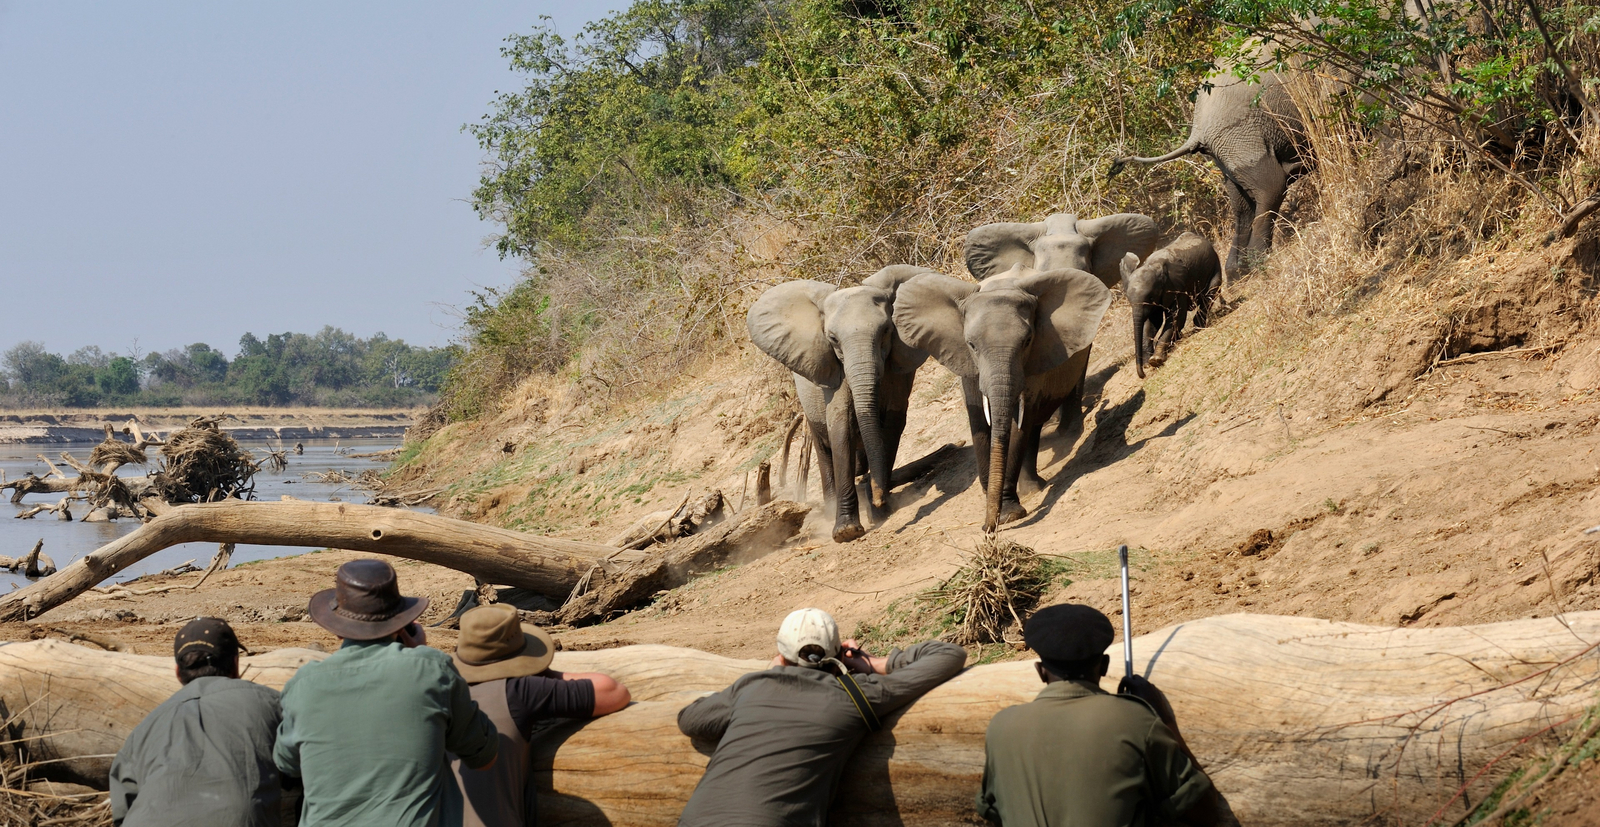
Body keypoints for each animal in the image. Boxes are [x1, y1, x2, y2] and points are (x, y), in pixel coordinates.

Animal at [747, 265, 930, 542]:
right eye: (832, 339)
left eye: (886, 331)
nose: (878, 498)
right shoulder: (834, 373)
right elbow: (840, 425)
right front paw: (847, 531)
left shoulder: (898, 368)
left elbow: (892, 424)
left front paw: (880, 511)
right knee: (823, 448)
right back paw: (832, 507)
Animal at [893, 266, 1113, 531]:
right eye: (971, 345)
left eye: (1027, 341)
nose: (988, 529)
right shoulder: (967, 363)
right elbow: (979, 420)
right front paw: (994, 503)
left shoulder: (1034, 360)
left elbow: (1019, 423)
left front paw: (1009, 514)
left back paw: (1035, 486)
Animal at [1108, 70, 1305, 277]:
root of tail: (1197, 128)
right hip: (1240, 138)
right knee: (1272, 188)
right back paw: (1261, 265)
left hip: (1229, 148)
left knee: (1242, 207)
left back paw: (1237, 272)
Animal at [1120, 232, 1222, 379]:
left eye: (1150, 297)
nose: (1143, 374)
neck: (1154, 265)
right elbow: (1153, 323)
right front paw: (1149, 362)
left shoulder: (1177, 285)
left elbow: (1176, 316)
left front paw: (1155, 360)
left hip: (1214, 264)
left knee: (1210, 292)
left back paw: (1198, 326)